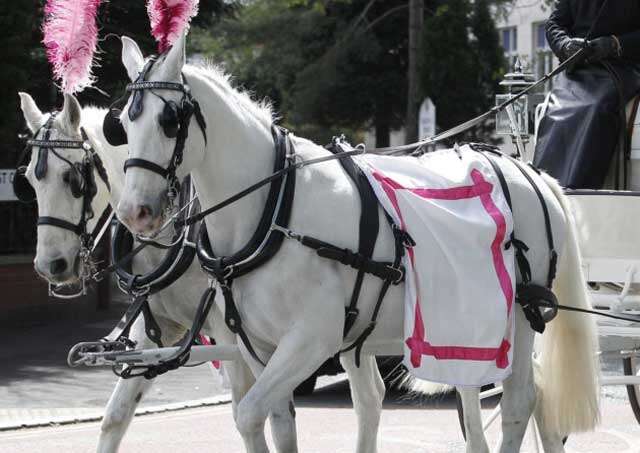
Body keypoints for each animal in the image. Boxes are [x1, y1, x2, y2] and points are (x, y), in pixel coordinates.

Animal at [114, 35, 600, 452]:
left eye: (169, 121)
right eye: (122, 123)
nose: (134, 212)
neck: (274, 208)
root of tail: (529, 172)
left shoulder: (311, 340)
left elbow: (249, 414)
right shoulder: (259, 347)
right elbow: (274, 423)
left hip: (518, 320)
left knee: (520, 402)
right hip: (463, 322)